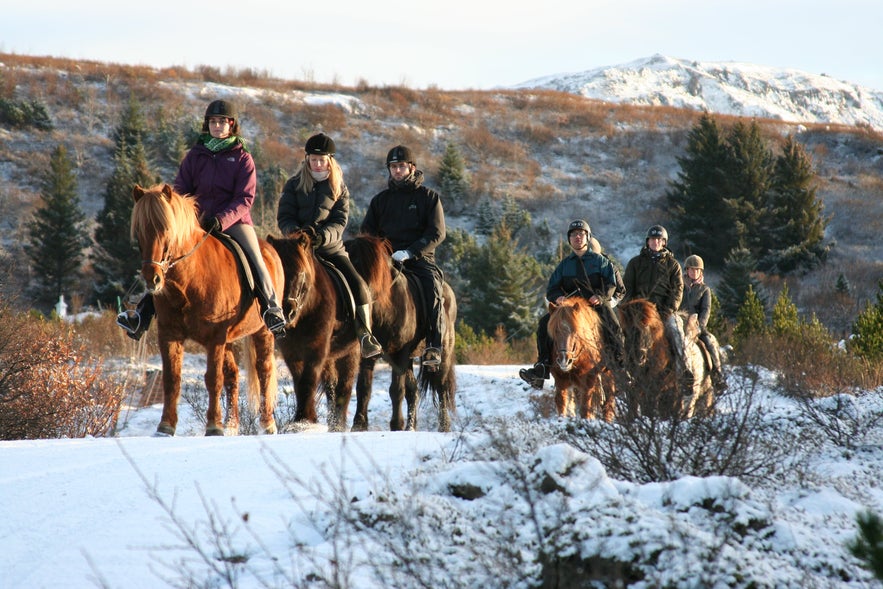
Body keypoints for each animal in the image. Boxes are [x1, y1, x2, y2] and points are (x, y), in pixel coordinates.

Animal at [266, 232, 360, 430]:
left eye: (301, 273)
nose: (287, 312)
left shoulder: (317, 349)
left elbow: (308, 380)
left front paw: (306, 418)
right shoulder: (291, 352)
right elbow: (299, 382)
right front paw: (302, 419)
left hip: (350, 352)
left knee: (344, 386)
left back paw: (338, 424)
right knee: (332, 388)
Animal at [344, 234, 460, 432]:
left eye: (370, 266)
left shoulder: (400, 353)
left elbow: (396, 390)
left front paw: (396, 425)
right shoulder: (368, 354)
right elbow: (363, 388)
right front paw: (359, 425)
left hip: (441, 355)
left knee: (441, 389)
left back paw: (443, 426)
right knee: (414, 391)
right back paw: (411, 427)